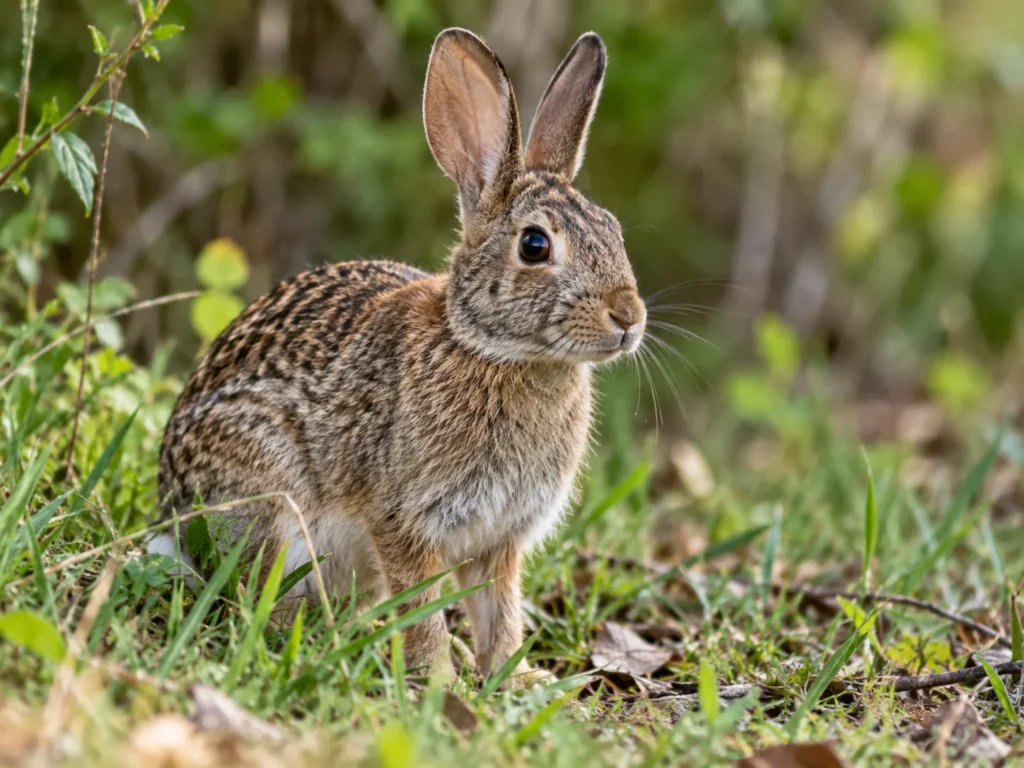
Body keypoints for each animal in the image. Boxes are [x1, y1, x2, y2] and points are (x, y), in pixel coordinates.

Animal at [152, 27, 646, 686]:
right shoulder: (404, 520)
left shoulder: (501, 539)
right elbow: (422, 606)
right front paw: (440, 681)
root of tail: (170, 514)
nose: (629, 316)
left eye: (614, 230)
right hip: (268, 494)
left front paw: (512, 679)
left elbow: (500, 609)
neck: (493, 350)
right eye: (536, 245)